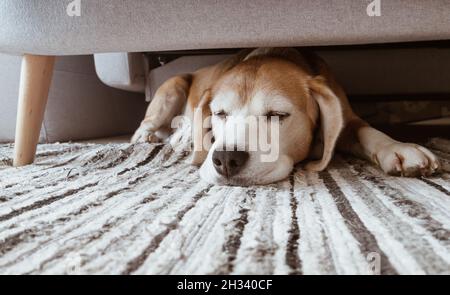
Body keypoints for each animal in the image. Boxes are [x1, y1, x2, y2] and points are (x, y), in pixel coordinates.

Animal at [131, 48, 440, 185]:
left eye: (278, 114)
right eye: (219, 114)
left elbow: (369, 132)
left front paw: (399, 147)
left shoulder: (348, 120)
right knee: (147, 125)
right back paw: (151, 139)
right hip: (171, 88)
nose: (226, 160)